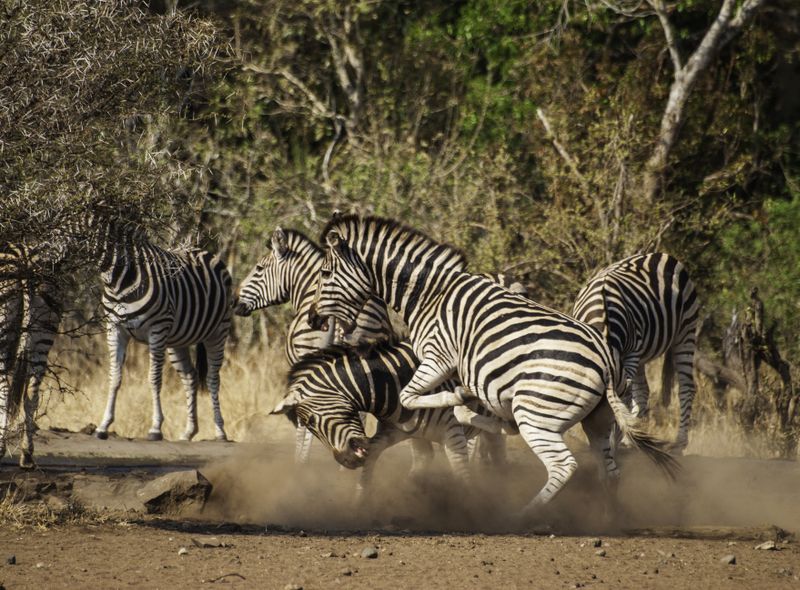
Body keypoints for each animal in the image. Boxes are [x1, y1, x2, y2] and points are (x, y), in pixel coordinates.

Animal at [90, 221, 232, 442]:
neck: (119, 280)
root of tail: (203, 251)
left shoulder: (156, 329)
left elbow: (154, 379)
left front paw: (155, 428)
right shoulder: (115, 328)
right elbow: (114, 376)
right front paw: (103, 425)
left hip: (218, 331)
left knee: (212, 379)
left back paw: (220, 432)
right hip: (178, 339)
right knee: (190, 377)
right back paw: (189, 431)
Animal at [271, 339, 511, 500]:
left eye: (311, 422)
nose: (346, 462)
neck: (395, 386)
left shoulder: (452, 433)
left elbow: (461, 473)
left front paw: (469, 508)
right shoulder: (394, 432)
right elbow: (376, 464)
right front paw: (360, 505)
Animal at [308, 215, 678, 517]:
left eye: (325, 273)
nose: (312, 319)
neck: (429, 294)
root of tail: (605, 360)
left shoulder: (437, 356)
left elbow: (409, 398)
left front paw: (458, 401)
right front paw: (471, 410)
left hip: (536, 413)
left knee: (563, 465)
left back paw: (522, 515)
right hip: (596, 419)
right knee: (610, 472)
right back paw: (608, 519)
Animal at [572, 253, 700, 452]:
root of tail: (661, 255)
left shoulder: (630, 353)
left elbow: (625, 398)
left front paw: (618, 437)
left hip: (685, 330)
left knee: (686, 387)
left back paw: (679, 443)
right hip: (642, 354)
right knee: (643, 391)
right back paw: (630, 439)